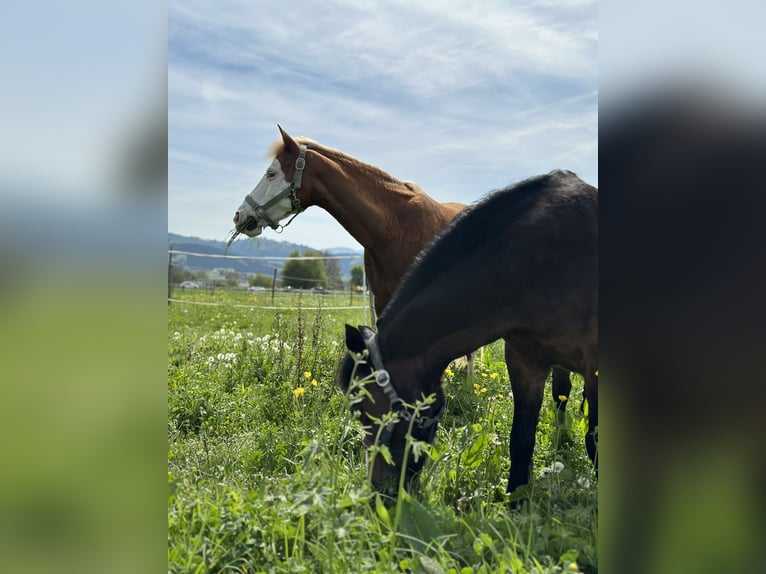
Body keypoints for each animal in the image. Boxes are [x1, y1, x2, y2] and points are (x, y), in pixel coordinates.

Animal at [340, 170, 600, 496]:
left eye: (365, 409)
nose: (379, 488)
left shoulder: (595, 369)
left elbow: (595, 444)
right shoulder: (524, 362)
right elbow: (521, 442)